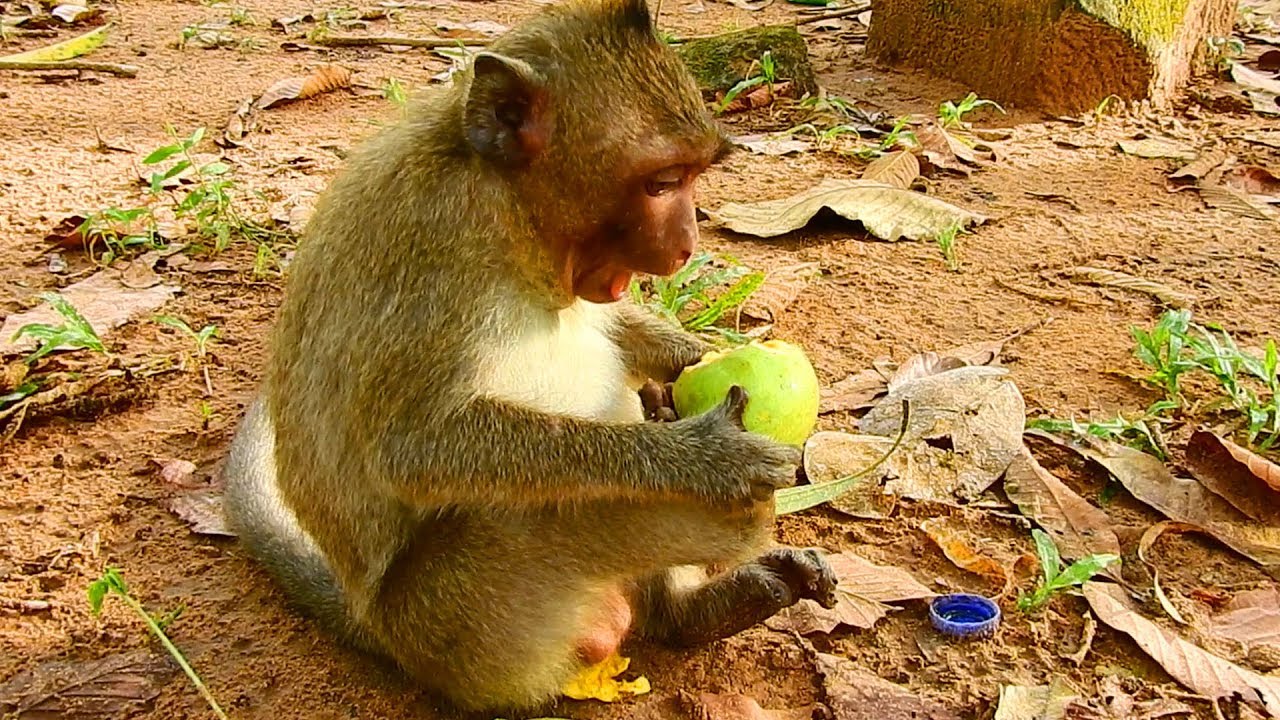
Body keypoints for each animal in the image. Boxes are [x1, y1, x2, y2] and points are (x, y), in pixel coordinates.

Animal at [221, 0, 838, 713]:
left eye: (693, 176)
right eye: (662, 183)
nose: (688, 242)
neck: (510, 215)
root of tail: (377, 627)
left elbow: (618, 332)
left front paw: (688, 363)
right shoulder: (437, 244)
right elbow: (412, 447)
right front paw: (704, 458)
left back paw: (697, 611)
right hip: (468, 619)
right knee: (524, 514)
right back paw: (729, 526)